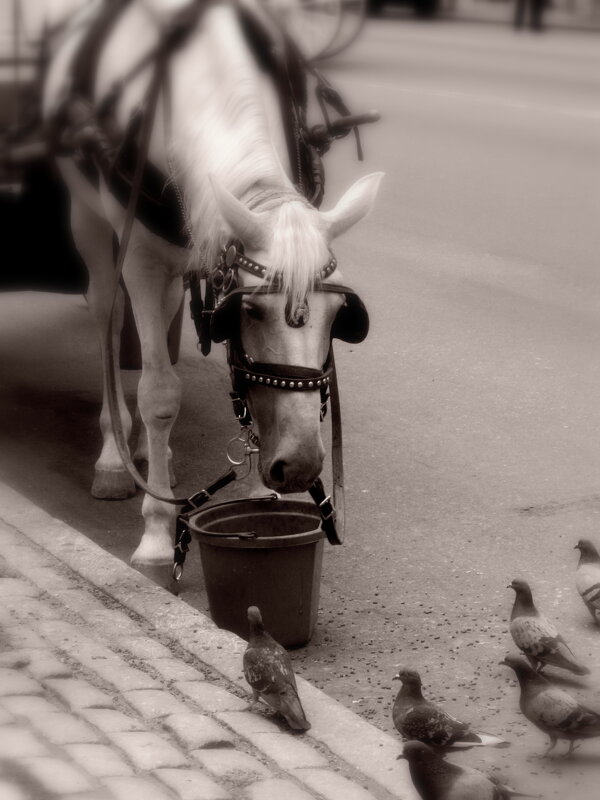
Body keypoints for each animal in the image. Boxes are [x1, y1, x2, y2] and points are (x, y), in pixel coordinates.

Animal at [38, 0, 384, 564]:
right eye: (250, 311)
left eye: (339, 318)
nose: (302, 465)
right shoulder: (140, 257)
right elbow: (158, 393)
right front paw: (157, 532)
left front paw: (263, 501)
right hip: (89, 216)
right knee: (107, 315)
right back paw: (115, 453)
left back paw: (147, 451)